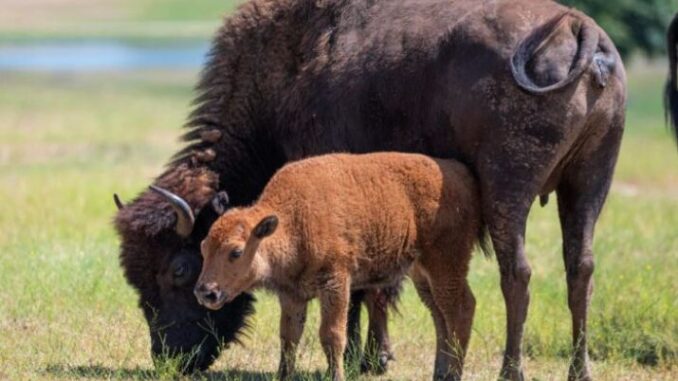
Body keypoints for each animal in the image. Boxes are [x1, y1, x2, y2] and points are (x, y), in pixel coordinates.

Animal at [195, 152, 484, 380]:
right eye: (203, 246)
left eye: (236, 252)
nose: (205, 292)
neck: (293, 221)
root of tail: (461, 174)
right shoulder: (292, 296)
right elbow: (289, 337)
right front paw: (283, 375)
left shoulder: (335, 284)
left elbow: (332, 335)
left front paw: (336, 375)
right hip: (422, 274)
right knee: (440, 316)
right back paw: (440, 373)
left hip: (446, 265)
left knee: (461, 309)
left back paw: (453, 374)